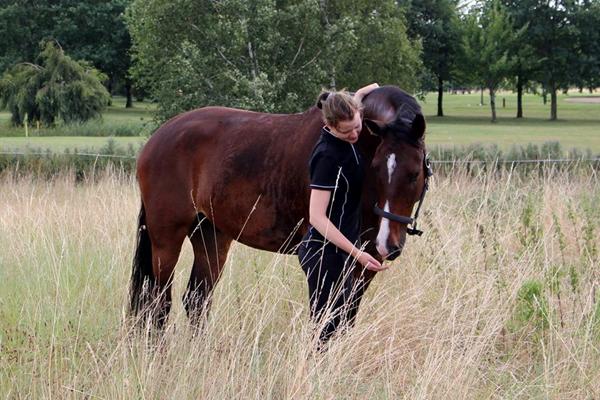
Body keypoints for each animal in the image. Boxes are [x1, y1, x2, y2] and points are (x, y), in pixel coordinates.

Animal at [131, 85, 432, 328]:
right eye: (378, 169)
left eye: (414, 173)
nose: (389, 244)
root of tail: (157, 138)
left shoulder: (365, 261)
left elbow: (345, 318)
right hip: (166, 240)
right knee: (158, 303)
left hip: (211, 236)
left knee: (196, 300)